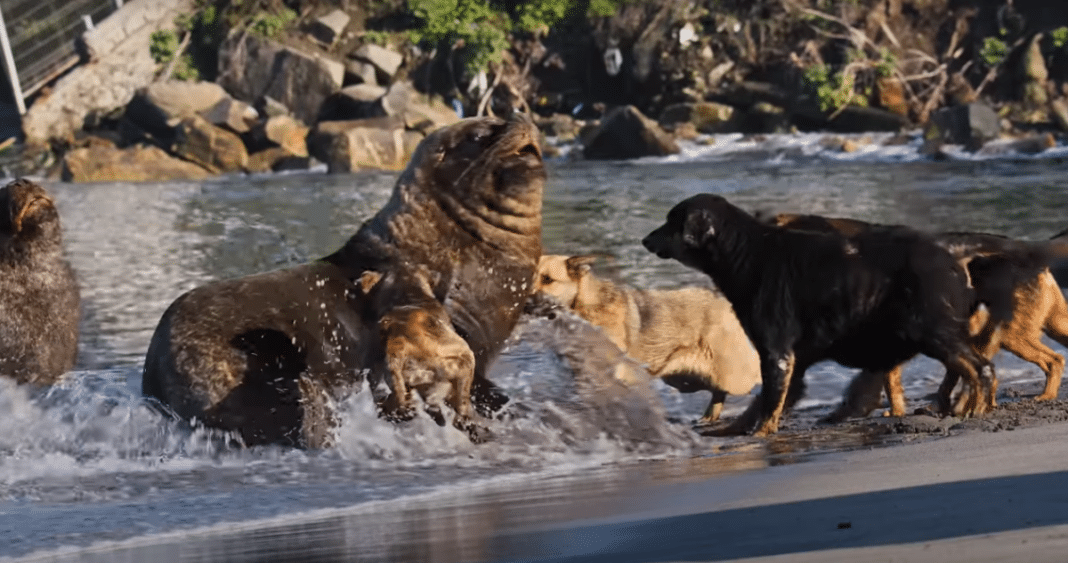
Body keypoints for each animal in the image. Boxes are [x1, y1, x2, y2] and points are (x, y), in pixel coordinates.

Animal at [531, 254, 760, 423]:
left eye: (548, 279)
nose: (525, 303)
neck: (582, 307)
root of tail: (723, 299)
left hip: (734, 374)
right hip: (687, 379)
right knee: (718, 393)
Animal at [640, 194, 991, 435]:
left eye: (671, 221)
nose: (644, 239)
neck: (746, 252)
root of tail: (952, 258)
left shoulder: (776, 352)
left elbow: (769, 402)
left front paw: (761, 434)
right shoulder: (796, 358)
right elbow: (768, 401)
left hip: (931, 329)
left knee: (981, 368)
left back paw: (977, 408)